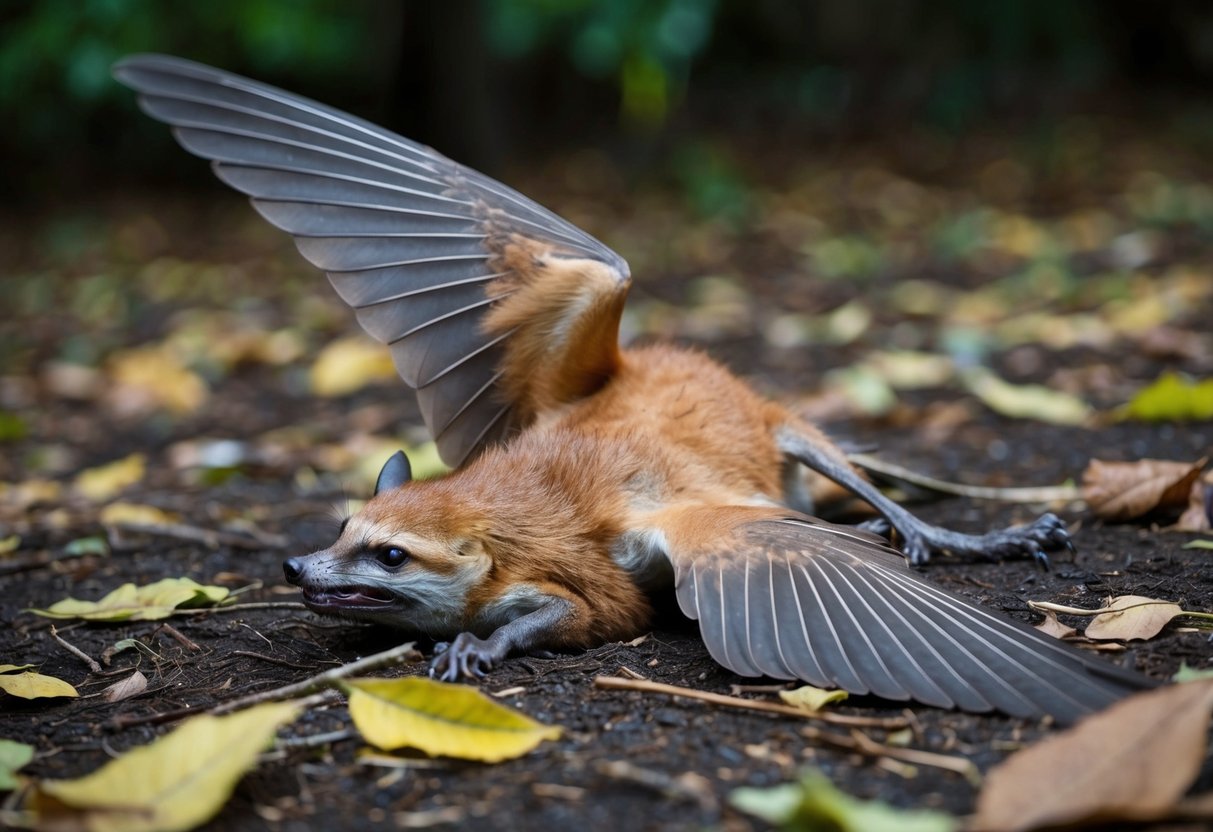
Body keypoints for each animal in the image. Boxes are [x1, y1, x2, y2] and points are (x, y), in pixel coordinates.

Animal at [115, 54, 1155, 723]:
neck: (514, 510)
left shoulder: (620, 586)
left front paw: (480, 646)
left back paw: (956, 531)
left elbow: (559, 615)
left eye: (389, 555)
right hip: (614, 286)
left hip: (794, 441)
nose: (299, 569)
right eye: (341, 529)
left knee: (884, 507)